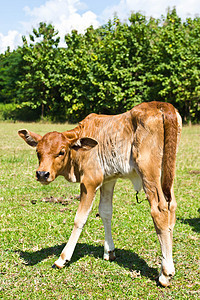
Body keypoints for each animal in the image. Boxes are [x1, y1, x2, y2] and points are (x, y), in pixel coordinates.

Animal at [18, 102, 182, 288]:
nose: (42, 174)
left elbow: (80, 218)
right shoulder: (108, 179)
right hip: (168, 171)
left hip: (149, 172)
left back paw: (166, 273)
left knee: (159, 210)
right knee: (171, 207)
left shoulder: (90, 181)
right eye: (38, 152)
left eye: (61, 151)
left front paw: (63, 258)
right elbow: (105, 212)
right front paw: (109, 251)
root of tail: (162, 105)